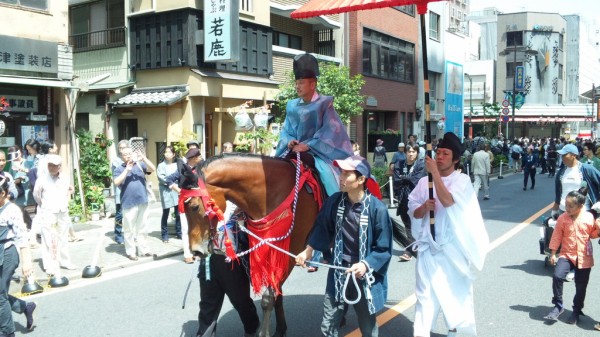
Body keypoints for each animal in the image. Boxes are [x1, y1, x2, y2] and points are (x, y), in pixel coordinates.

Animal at [184, 153, 322, 336]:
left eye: (194, 207)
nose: (196, 251)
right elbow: (277, 294)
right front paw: (280, 329)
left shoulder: (291, 251)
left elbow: (269, 297)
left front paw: (265, 332)